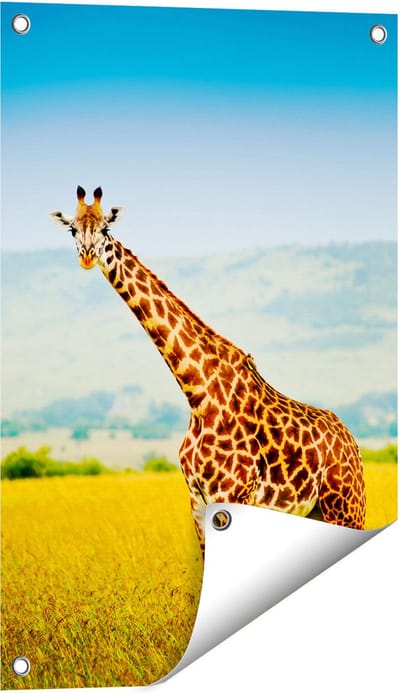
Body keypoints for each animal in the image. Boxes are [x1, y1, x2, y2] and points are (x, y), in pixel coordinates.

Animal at [51, 186, 366, 553]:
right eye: (73, 230)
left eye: (104, 229)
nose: (87, 256)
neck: (197, 392)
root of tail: (352, 443)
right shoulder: (197, 500)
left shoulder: (233, 494)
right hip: (315, 511)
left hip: (345, 505)